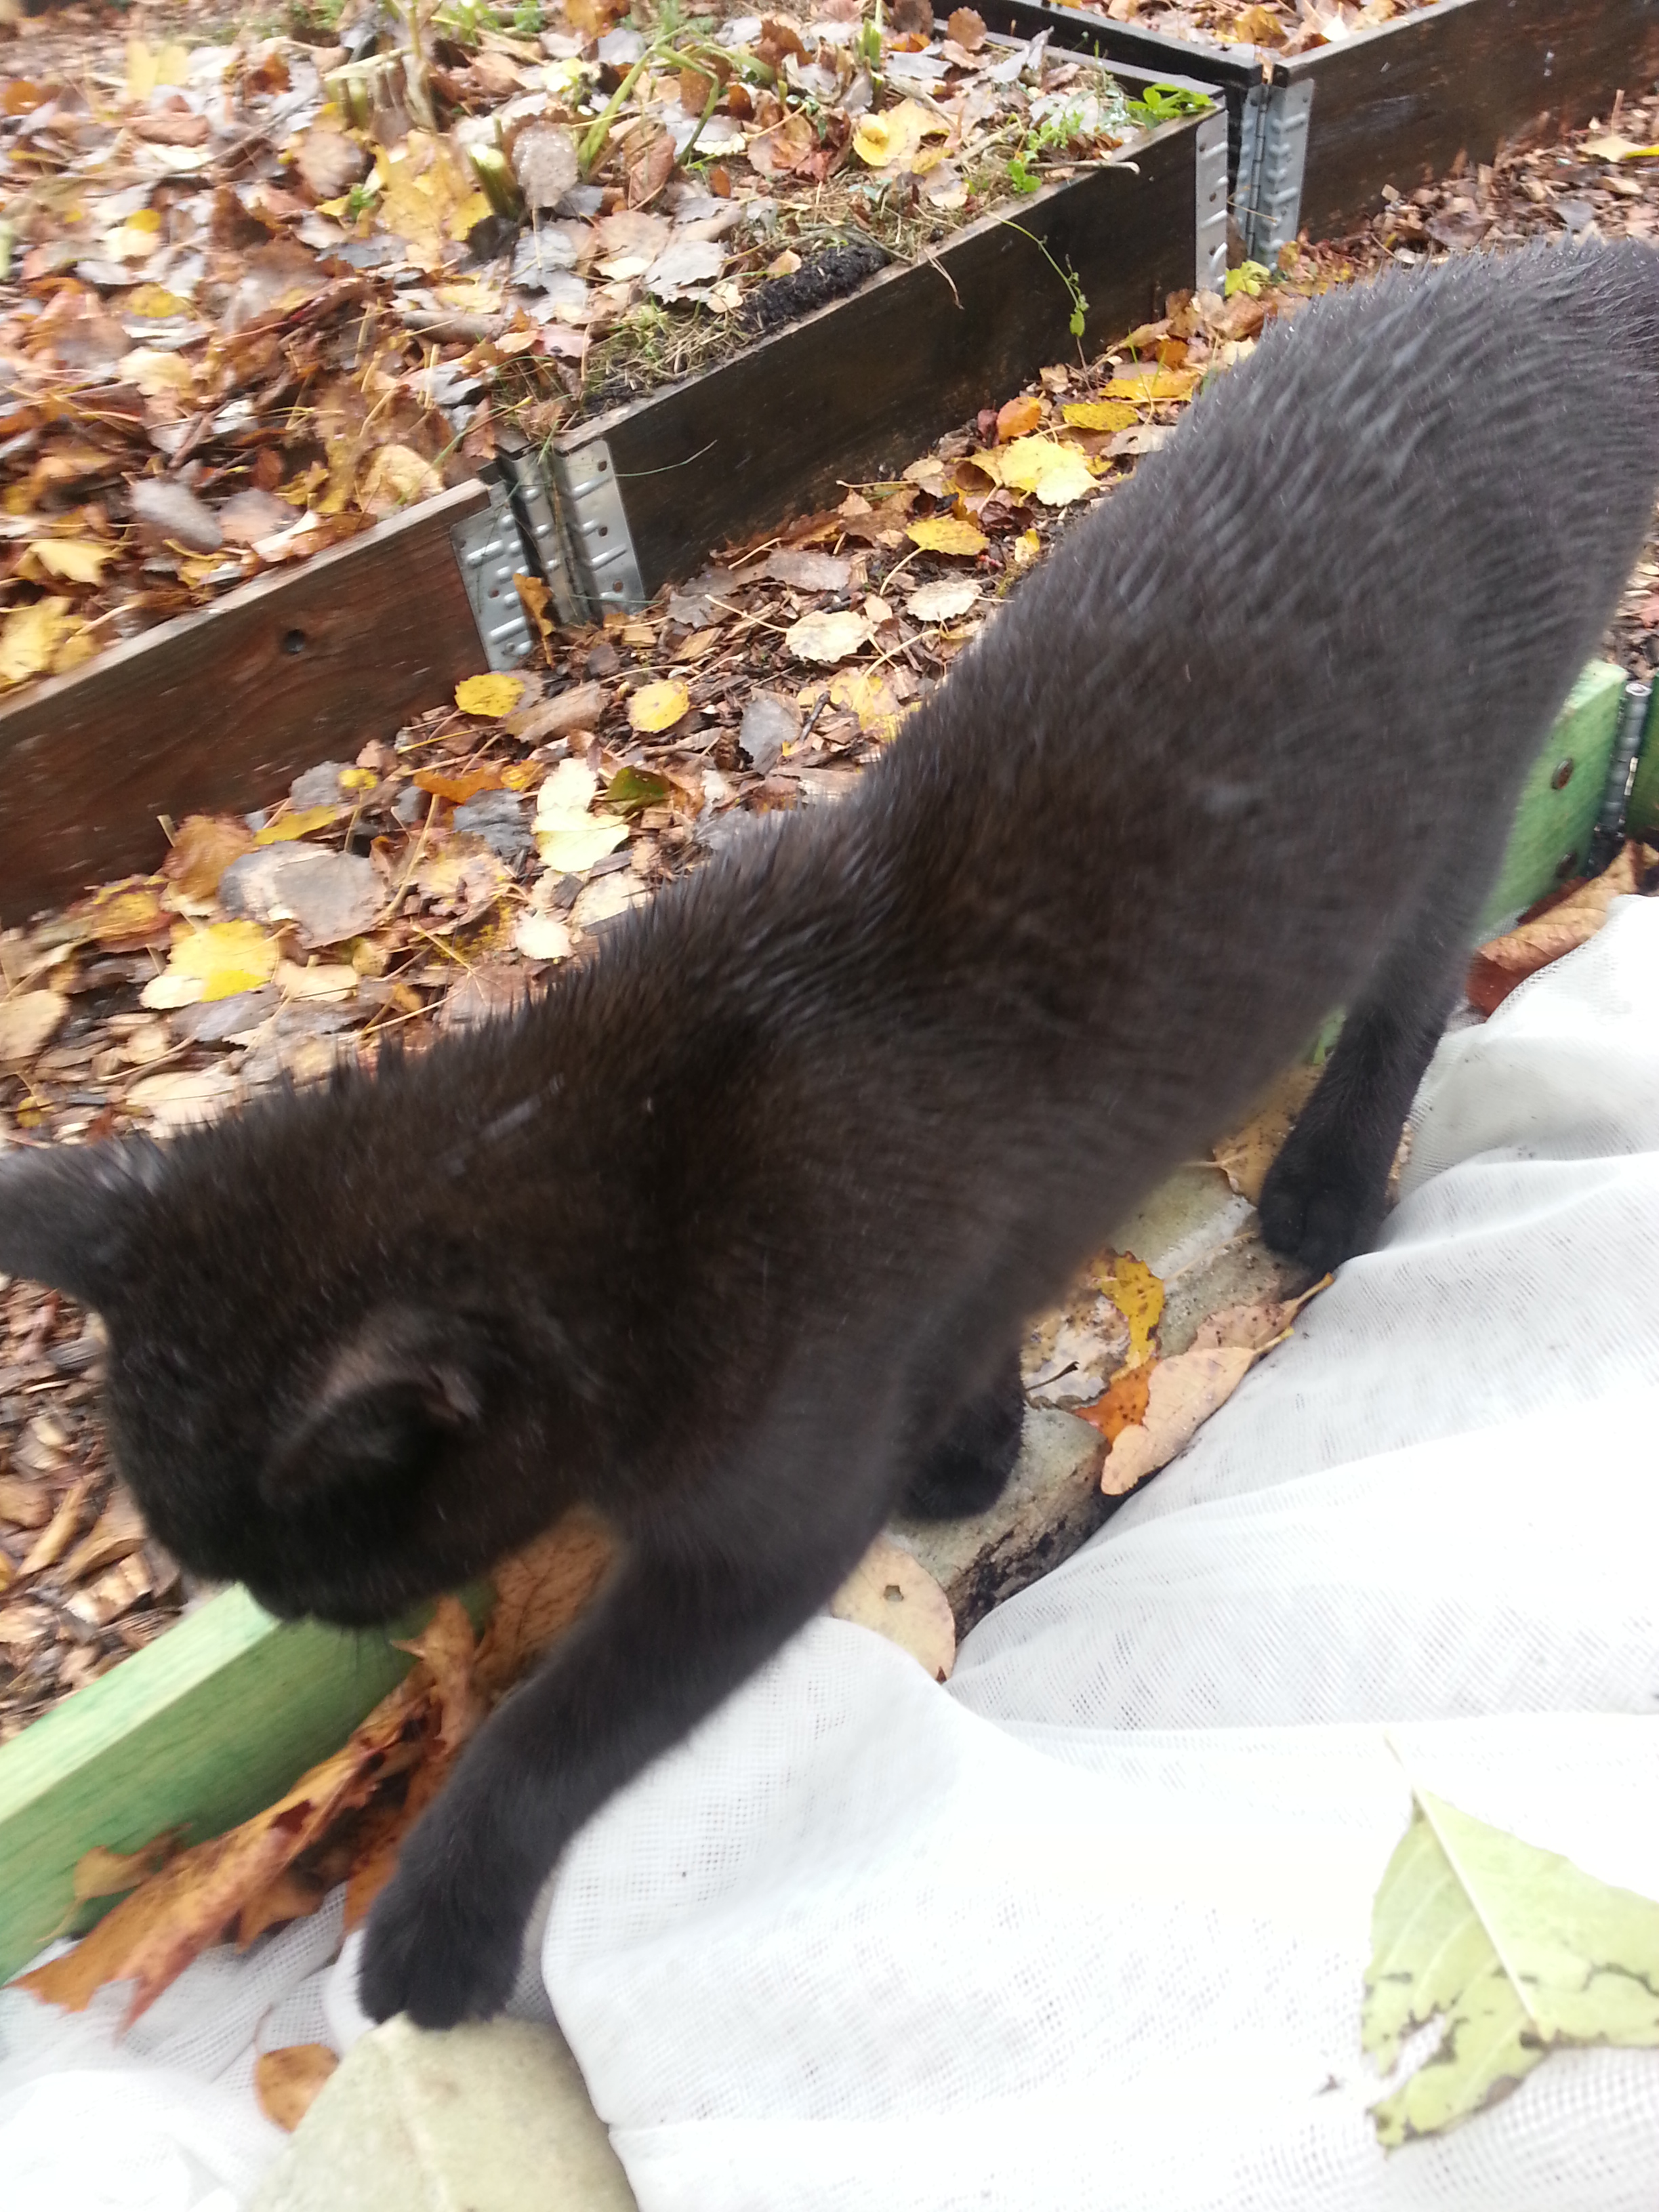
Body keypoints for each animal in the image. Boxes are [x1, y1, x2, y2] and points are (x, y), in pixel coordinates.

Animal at [3, 242, 1657, 2032]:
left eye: (299, 1564)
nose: (294, 1612)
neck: (622, 1142)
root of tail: (1549, 288)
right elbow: (978, 1312)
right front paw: (969, 1441)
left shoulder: (757, 1526)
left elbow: (556, 1729)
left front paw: (440, 1923)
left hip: (1471, 790)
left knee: (1411, 986)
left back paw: (1326, 1187)